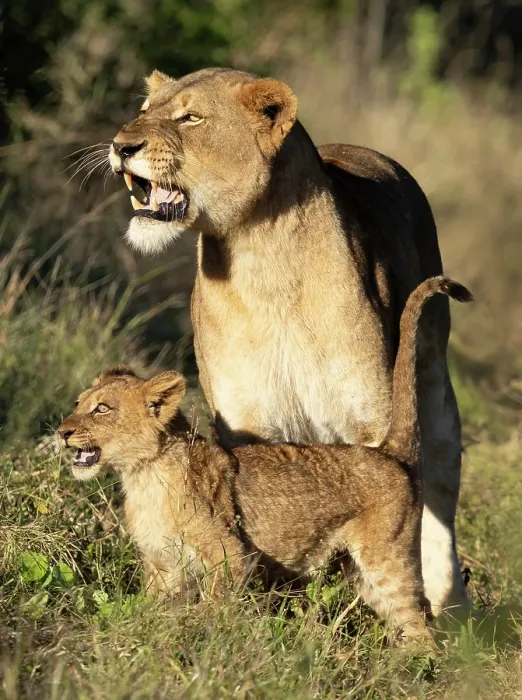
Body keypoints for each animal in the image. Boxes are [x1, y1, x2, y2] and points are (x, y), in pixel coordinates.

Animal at [59, 277, 471, 640]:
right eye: (78, 404)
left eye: (102, 409)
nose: (62, 431)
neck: (142, 477)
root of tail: (389, 452)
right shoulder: (163, 566)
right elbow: (150, 607)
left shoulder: (230, 554)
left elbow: (212, 606)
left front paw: (194, 632)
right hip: (357, 569)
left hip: (386, 557)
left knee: (419, 622)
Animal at [108, 67, 469, 614]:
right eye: (145, 109)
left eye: (190, 118)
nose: (120, 145)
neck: (261, 260)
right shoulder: (245, 424)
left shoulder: (370, 418)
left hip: (433, 387)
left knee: (439, 501)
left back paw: (452, 607)